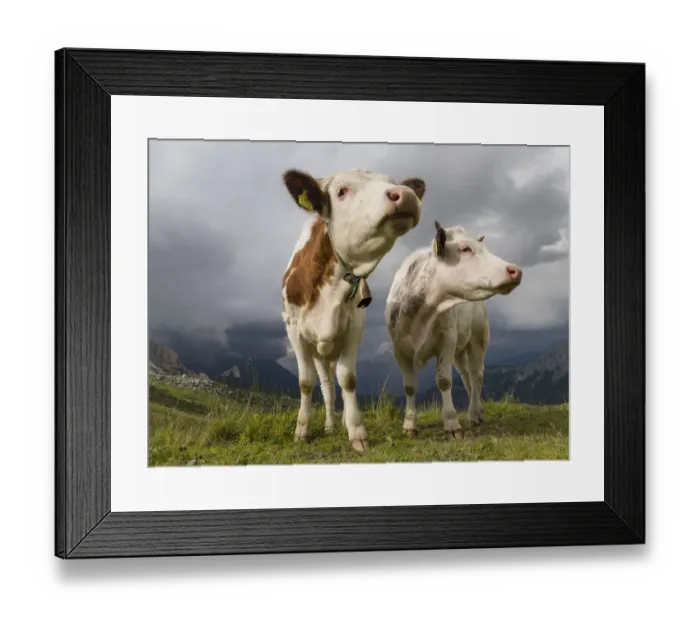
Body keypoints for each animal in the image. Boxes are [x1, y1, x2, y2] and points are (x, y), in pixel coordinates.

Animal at [281, 168, 427, 452]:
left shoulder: (354, 327)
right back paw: (328, 426)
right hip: (319, 353)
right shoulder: (294, 330)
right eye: (341, 191)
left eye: (392, 183)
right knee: (326, 387)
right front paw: (302, 430)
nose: (405, 195)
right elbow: (305, 382)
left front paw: (357, 432)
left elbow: (348, 379)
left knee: (332, 385)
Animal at [385, 221, 522, 440]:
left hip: (478, 340)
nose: (515, 270)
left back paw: (473, 414)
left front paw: (451, 423)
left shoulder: (446, 341)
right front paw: (409, 424)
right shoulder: (399, 349)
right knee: (466, 378)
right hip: (459, 350)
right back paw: (477, 410)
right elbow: (410, 386)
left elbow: (444, 381)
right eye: (465, 249)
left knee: (476, 375)